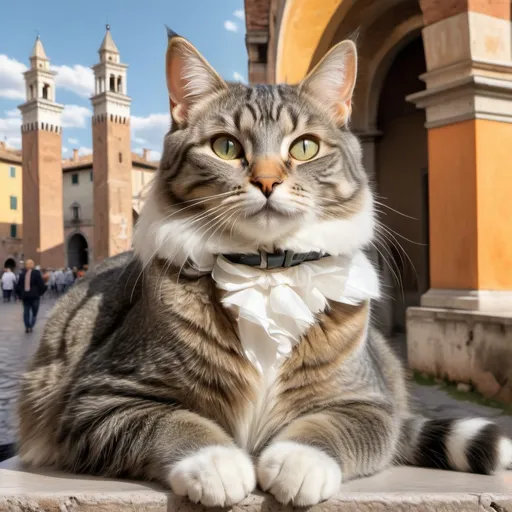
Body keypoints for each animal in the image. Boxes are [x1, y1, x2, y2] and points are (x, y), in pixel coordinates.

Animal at [17, 33, 512, 508]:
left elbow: (329, 427)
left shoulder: (370, 403)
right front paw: (216, 464)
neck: (267, 270)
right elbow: (173, 421)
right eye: (226, 147)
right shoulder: (102, 395)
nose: (268, 181)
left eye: (306, 147)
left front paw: (299, 461)